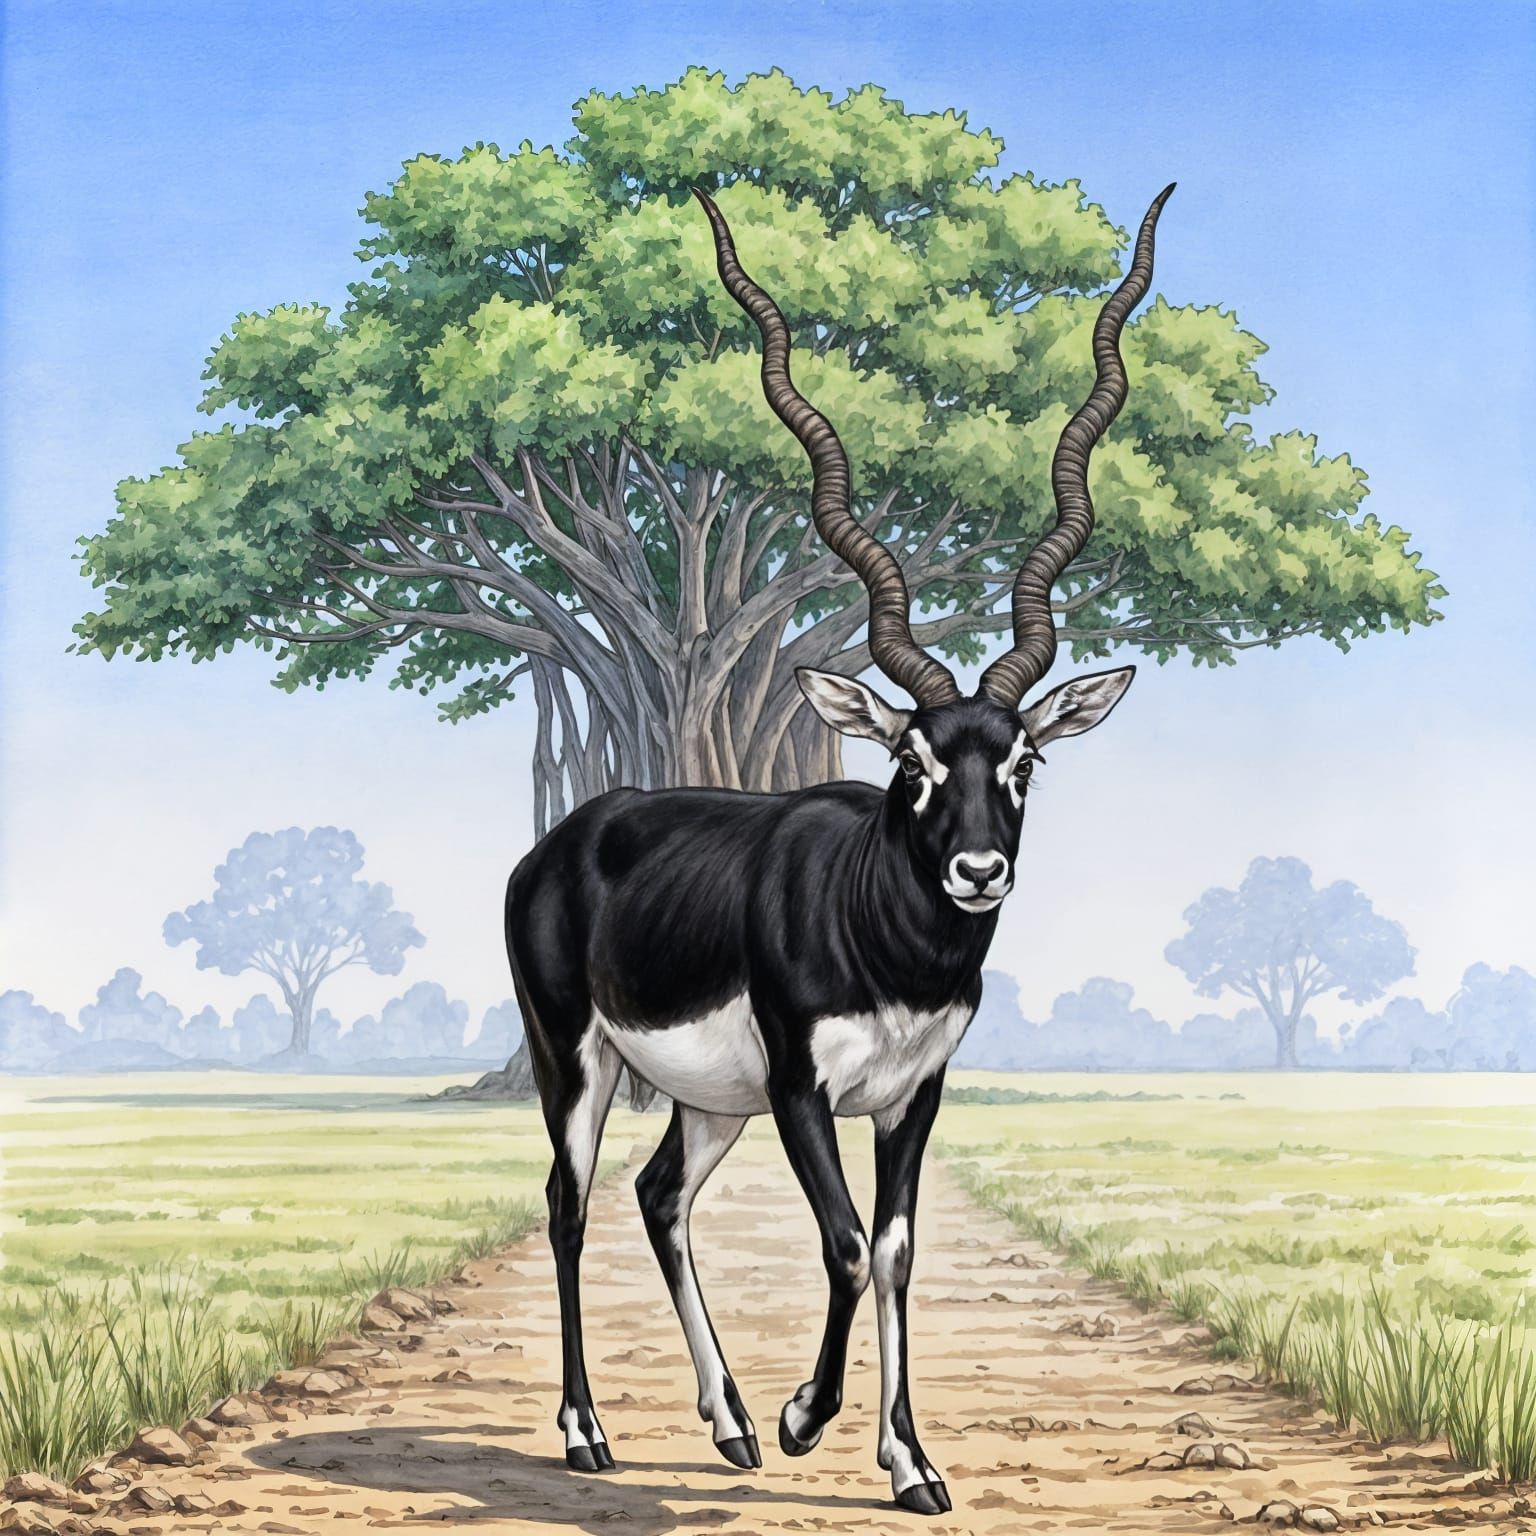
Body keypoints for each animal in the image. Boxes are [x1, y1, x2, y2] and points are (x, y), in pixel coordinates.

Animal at [507, 183, 1173, 1514]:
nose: (978, 870)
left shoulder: (911, 1093)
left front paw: (909, 1460)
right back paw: (590, 1432)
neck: (890, 944)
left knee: (659, 1196)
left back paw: (725, 1429)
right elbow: (848, 1242)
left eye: (1021, 763)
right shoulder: (805, 1088)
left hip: (710, 1099)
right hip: (577, 1060)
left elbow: (904, 1248)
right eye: (911, 762)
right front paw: (808, 1417)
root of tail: (568, 837)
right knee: (568, 1201)